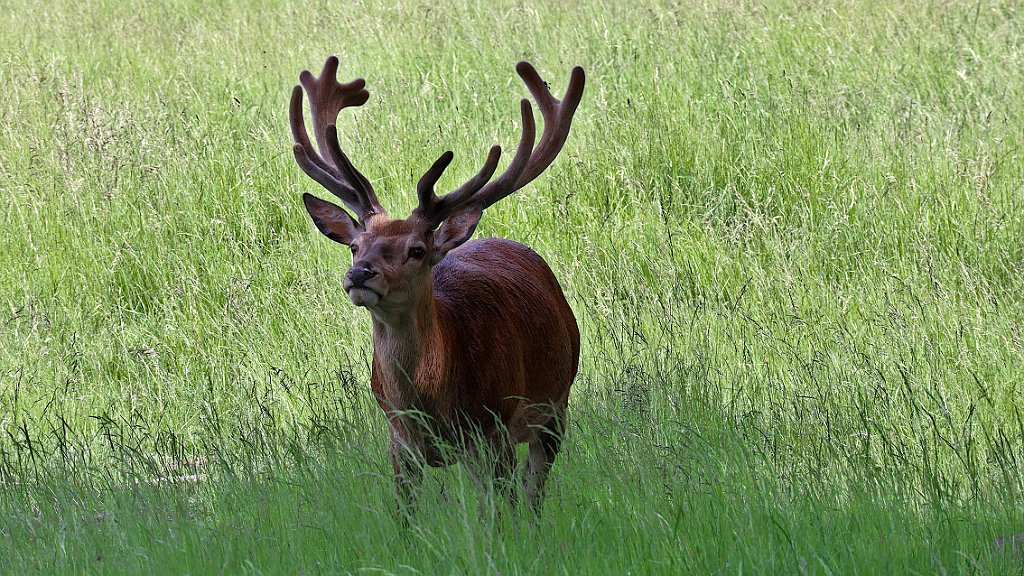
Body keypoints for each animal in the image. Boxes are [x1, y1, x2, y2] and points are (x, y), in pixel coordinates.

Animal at [288, 56, 585, 508]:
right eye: (355, 246)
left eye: (417, 250)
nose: (359, 274)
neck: (433, 404)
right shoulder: (399, 443)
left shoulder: (493, 428)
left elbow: (503, 511)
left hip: (555, 403)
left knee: (532, 494)